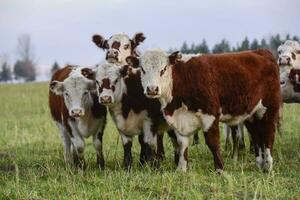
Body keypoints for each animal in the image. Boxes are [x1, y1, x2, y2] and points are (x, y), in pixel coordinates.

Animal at [126, 48, 282, 172]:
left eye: (163, 69)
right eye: (142, 70)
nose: (152, 89)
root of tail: (260, 51)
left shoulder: (210, 115)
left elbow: (213, 143)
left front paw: (220, 169)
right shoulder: (180, 120)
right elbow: (182, 144)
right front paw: (181, 168)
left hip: (269, 108)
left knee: (268, 134)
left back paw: (268, 165)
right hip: (251, 114)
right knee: (256, 135)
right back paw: (260, 163)